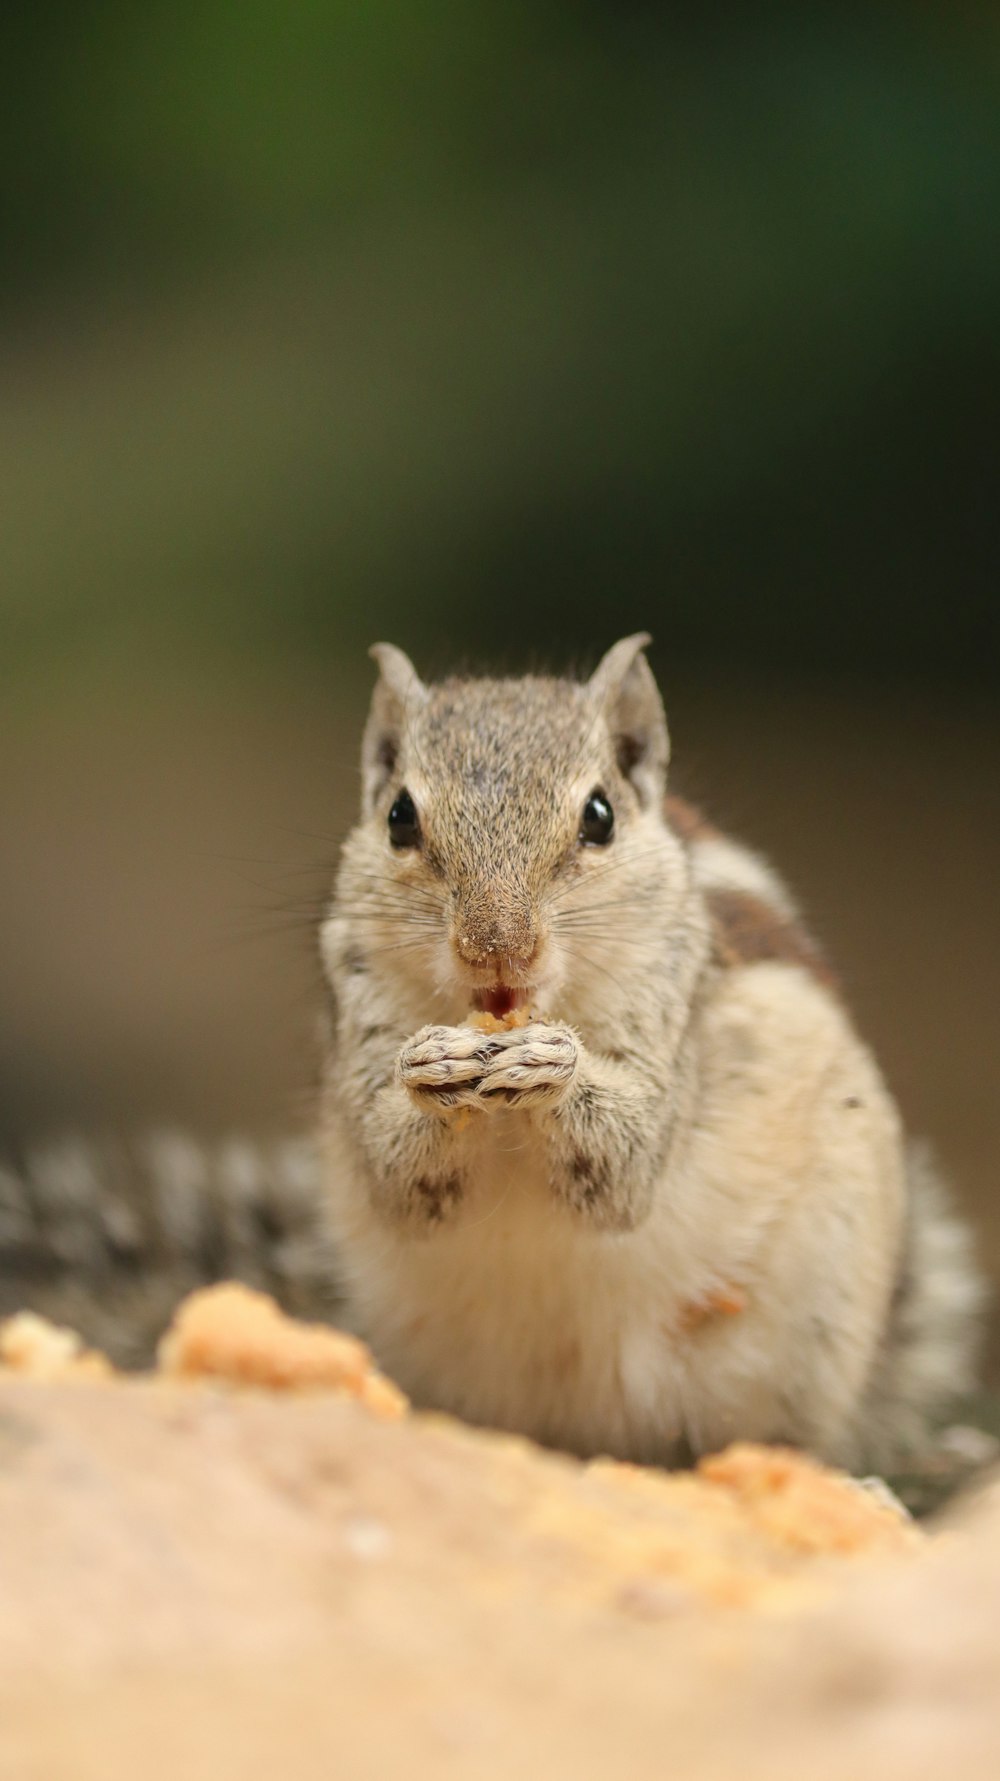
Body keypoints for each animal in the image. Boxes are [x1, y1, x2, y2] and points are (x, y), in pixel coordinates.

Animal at [0, 641, 983, 1474]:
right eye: (399, 816)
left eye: (600, 816)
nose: (496, 949)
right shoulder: (359, 1023)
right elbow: (398, 1171)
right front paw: (429, 1072)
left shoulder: (672, 1016)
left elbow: (627, 1163)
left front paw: (557, 1065)